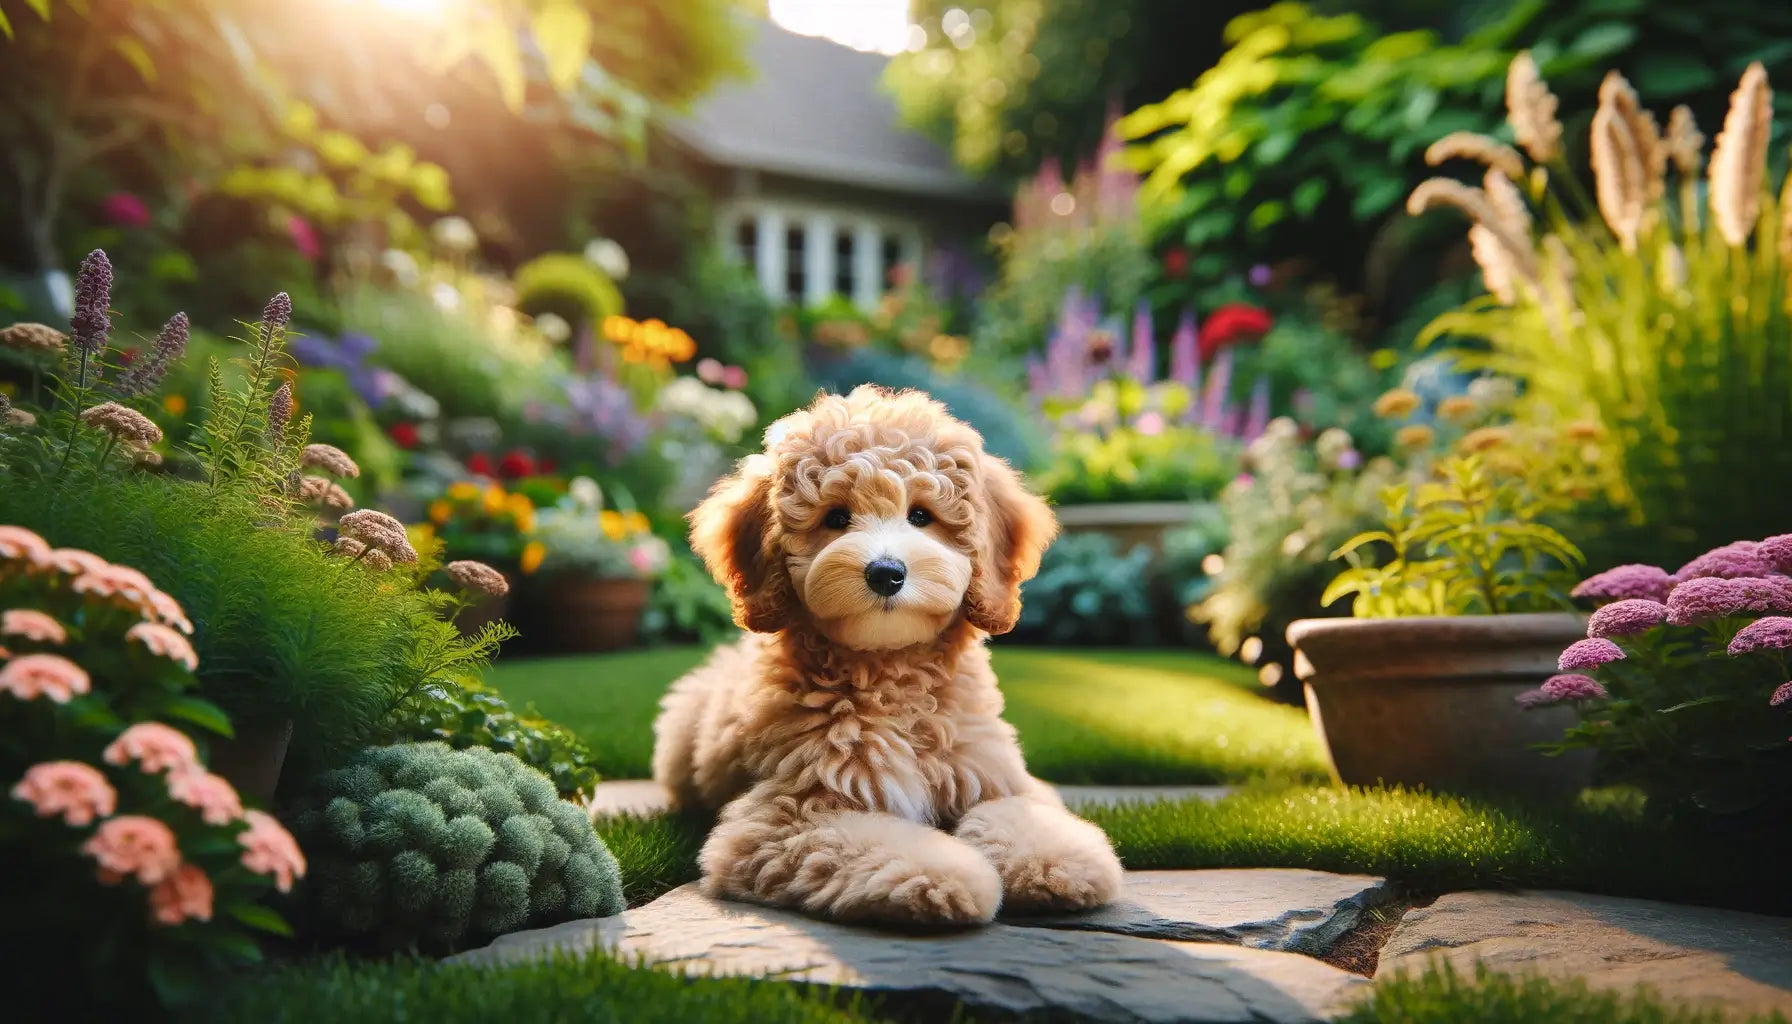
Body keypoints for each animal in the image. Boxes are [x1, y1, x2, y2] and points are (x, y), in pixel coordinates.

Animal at [652, 387, 1111, 932]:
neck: (892, 673)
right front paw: (950, 876)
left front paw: (1058, 862)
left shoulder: (993, 773)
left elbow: (1020, 812)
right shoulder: (785, 818)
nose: (886, 572)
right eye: (835, 518)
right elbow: (880, 843)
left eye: (921, 516)